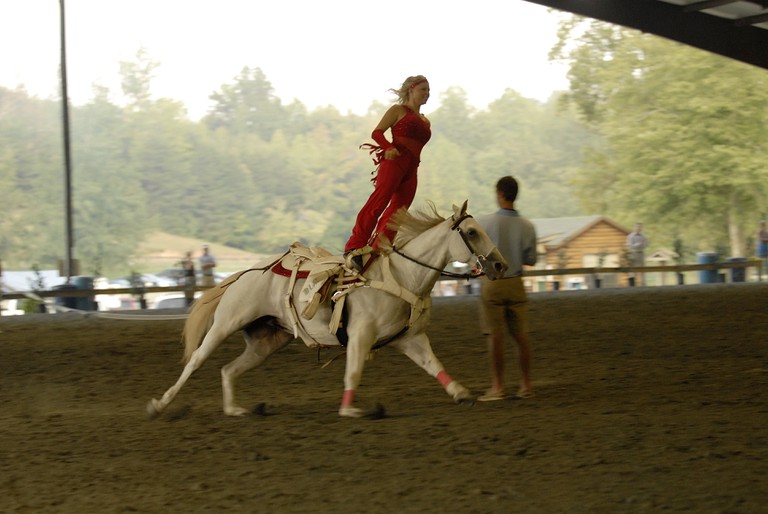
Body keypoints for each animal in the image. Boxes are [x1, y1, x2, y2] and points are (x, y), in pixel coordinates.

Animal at [147, 201, 508, 418]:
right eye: (472, 232)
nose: (501, 265)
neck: (402, 276)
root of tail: (245, 273)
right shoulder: (361, 335)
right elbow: (354, 371)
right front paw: (350, 411)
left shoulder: (410, 339)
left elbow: (434, 365)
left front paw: (461, 392)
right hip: (225, 323)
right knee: (196, 361)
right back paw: (159, 404)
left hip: (266, 341)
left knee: (229, 370)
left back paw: (235, 409)